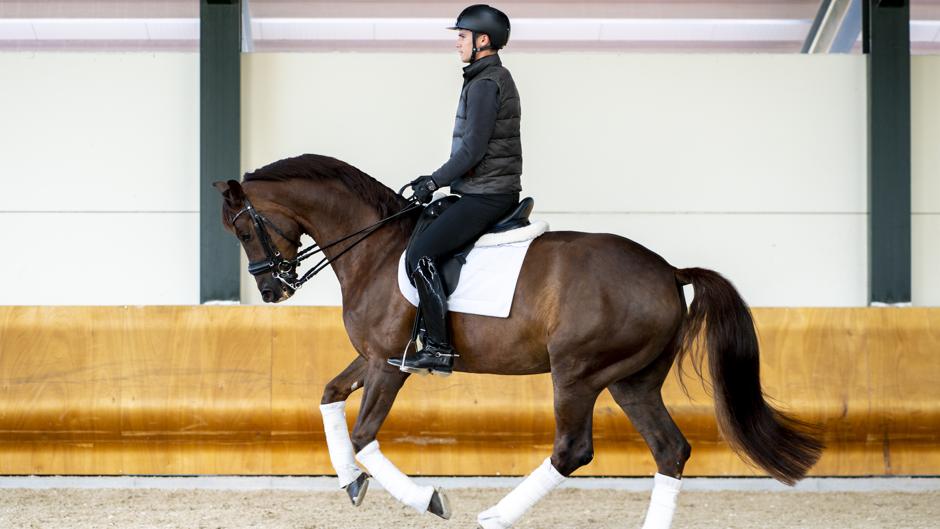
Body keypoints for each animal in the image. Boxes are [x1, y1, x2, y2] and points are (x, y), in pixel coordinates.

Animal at [215, 153, 824, 528]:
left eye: (243, 229)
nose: (271, 289)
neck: (377, 248)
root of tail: (669, 272)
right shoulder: (378, 356)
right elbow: (329, 395)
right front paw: (349, 483)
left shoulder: (389, 364)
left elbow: (365, 435)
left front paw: (430, 499)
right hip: (632, 382)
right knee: (670, 449)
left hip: (578, 374)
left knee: (573, 449)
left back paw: (496, 517)